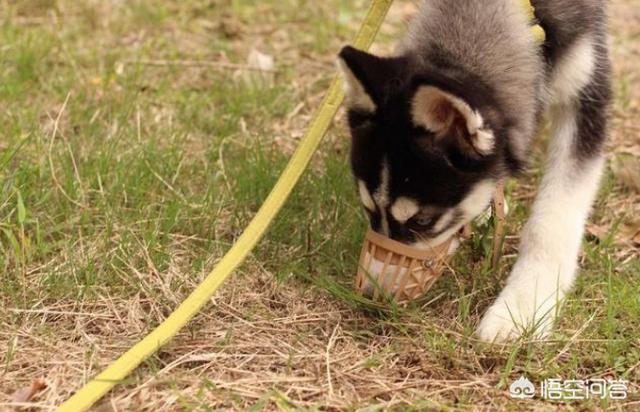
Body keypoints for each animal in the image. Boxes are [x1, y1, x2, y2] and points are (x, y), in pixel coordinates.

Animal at [338, 0, 612, 342]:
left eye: (423, 220)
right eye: (368, 208)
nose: (372, 296)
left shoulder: (587, 89)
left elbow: (552, 219)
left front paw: (525, 305)